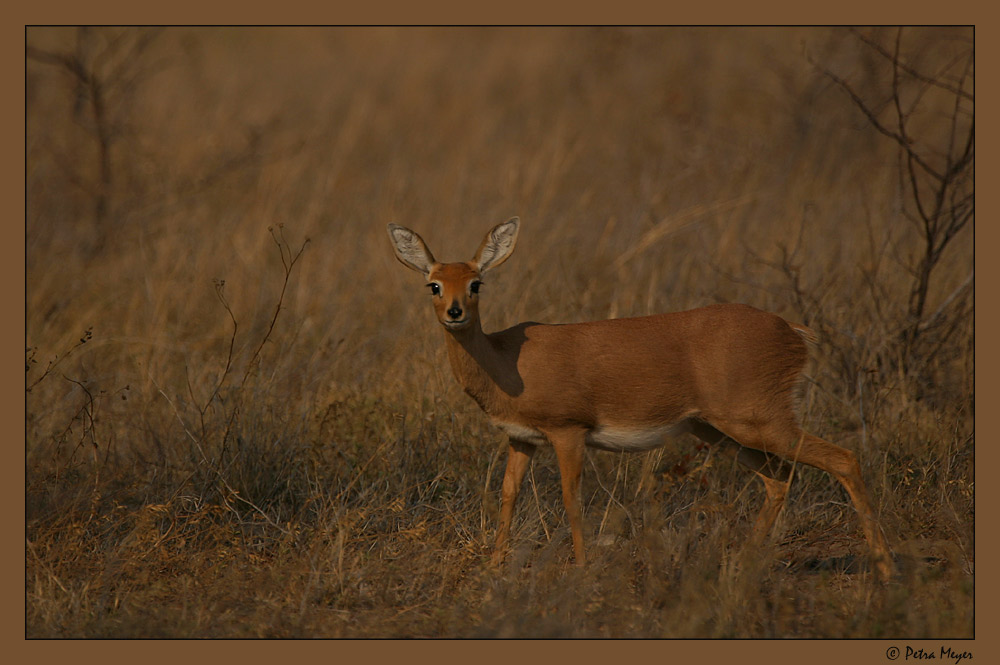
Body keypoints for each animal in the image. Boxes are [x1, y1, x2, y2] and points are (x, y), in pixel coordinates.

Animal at [386, 215, 896, 580]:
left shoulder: (568, 432)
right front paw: (494, 567)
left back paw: (886, 568)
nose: (454, 312)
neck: (508, 363)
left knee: (844, 459)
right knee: (780, 478)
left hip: (758, 422)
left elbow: (572, 496)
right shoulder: (521, 439)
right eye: (433, 283)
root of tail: (792, 331)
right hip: (723, 431)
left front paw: (581, 567)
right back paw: (744, 563)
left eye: (476, 282)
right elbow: (509, 493)